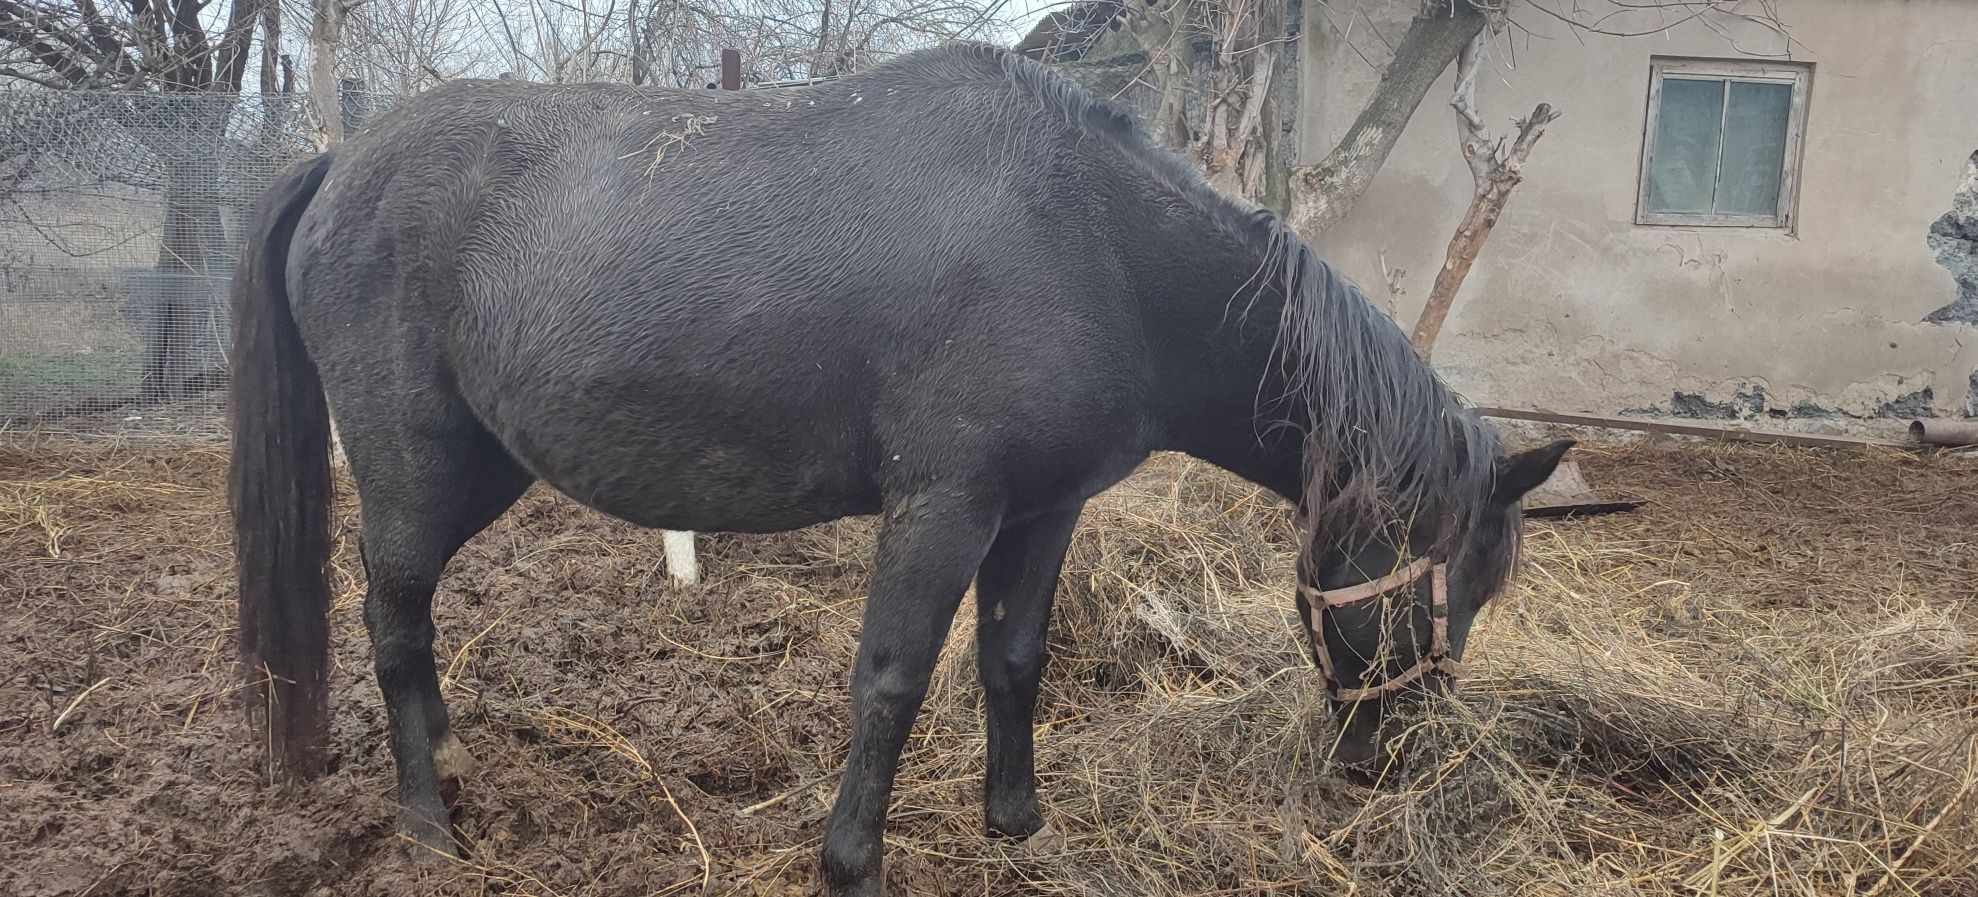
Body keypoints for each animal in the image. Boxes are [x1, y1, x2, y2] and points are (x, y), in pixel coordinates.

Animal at [227, 42, 1558, 895]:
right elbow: (892, 679)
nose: (1390, 764)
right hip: (415, 470)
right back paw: (426, 826)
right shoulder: (943, 505)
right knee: (391, 620)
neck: (1095, 249)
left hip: (484, 470)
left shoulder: (1043, 509)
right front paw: (850, 865)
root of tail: (340, 164)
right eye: (1442, 592)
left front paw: (1014, 826)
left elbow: (1012, 659)